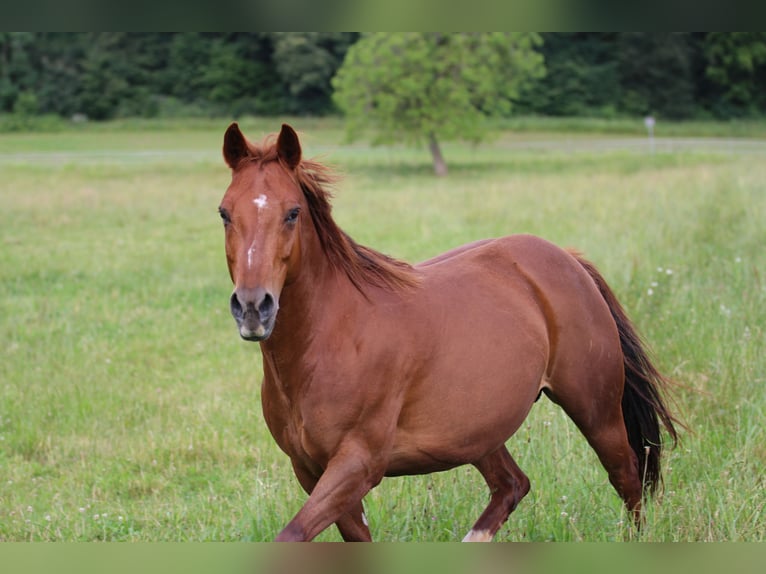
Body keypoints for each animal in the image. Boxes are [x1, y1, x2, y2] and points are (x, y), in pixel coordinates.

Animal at [219, 124, 680, 544]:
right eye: (225, 213)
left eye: (292, 212)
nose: (253, 307)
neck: (330, 340)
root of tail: (567, 258)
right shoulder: (310, 469)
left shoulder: (358, 463)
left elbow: (292, 535)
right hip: (480, 431)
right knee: (512, 485)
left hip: (595, 409)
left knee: (627, 479)